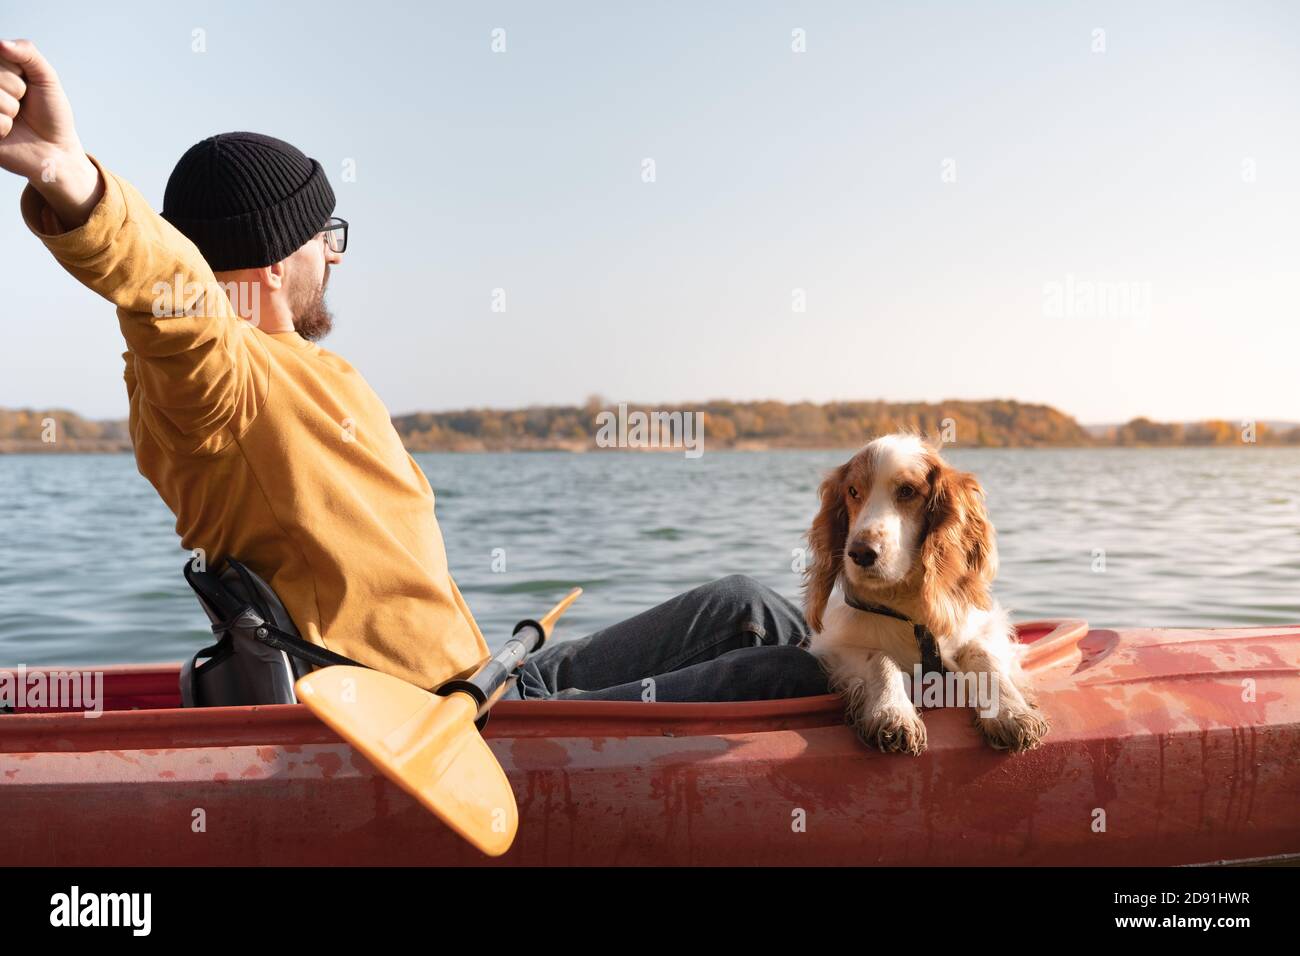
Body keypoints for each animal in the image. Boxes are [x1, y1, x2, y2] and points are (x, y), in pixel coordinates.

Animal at [800, 434, 1045, 754]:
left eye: (907, 491)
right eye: (852, 491)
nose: (860, 553)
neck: (909, 608)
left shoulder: (986, 627)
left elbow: (984, 658)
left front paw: (1010, 712)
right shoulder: (833, 646)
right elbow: (880, 659)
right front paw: (892, 711)